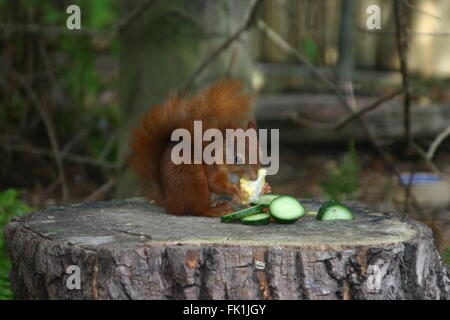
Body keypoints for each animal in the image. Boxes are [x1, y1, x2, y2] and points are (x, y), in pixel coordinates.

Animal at [128, 79, 268, 218]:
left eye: (260, 155)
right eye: (237, 159)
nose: (254, 178)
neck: (232, 173)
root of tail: (171, 203)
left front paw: (264, 188)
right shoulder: (213, 166)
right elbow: (214, 183)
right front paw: (236, 191)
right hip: (193, 180)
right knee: (197, 209)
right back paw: (216, 210)